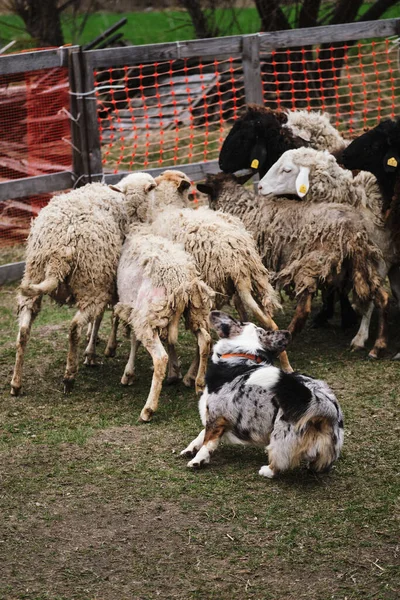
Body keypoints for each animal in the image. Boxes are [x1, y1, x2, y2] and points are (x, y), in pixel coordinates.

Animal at [11, 173, 157, 396]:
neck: (127, 206)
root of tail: (59, 252)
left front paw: (94, 347)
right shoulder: (109, 283)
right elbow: (107, 317)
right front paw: (101, 349)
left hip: (34, 276)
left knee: (24, 329)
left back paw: (16, 383)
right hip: (91, 284)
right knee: (73, 328)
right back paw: (69, 376)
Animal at [115, 225, 216, 422]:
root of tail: (179, 280)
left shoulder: (137, 312)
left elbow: (134, 340)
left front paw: (128, 374)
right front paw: (174, 372)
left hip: (150, 312)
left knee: (160, 358)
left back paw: (148, 409)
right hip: (195, 311)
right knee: (205, 340)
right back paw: (199, 384)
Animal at [182, 312, 344, 476]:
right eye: (265, 332)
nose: (288, 333)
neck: (243, 354)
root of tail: (323, 403)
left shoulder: (216, 416)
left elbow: (208, 441)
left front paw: (197, 460)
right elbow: (202, 434)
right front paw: (190, 448)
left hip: (280, 435)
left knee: (280, 461)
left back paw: (267, 470)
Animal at [198, 171, 390, 358]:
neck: (240, 207)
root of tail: (353, 230)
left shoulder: (243, 268)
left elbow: (244, 303)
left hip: (311, 264)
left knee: (303, 310)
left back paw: (284, 341)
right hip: (361, 266)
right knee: (382, 297)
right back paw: (377, 346)